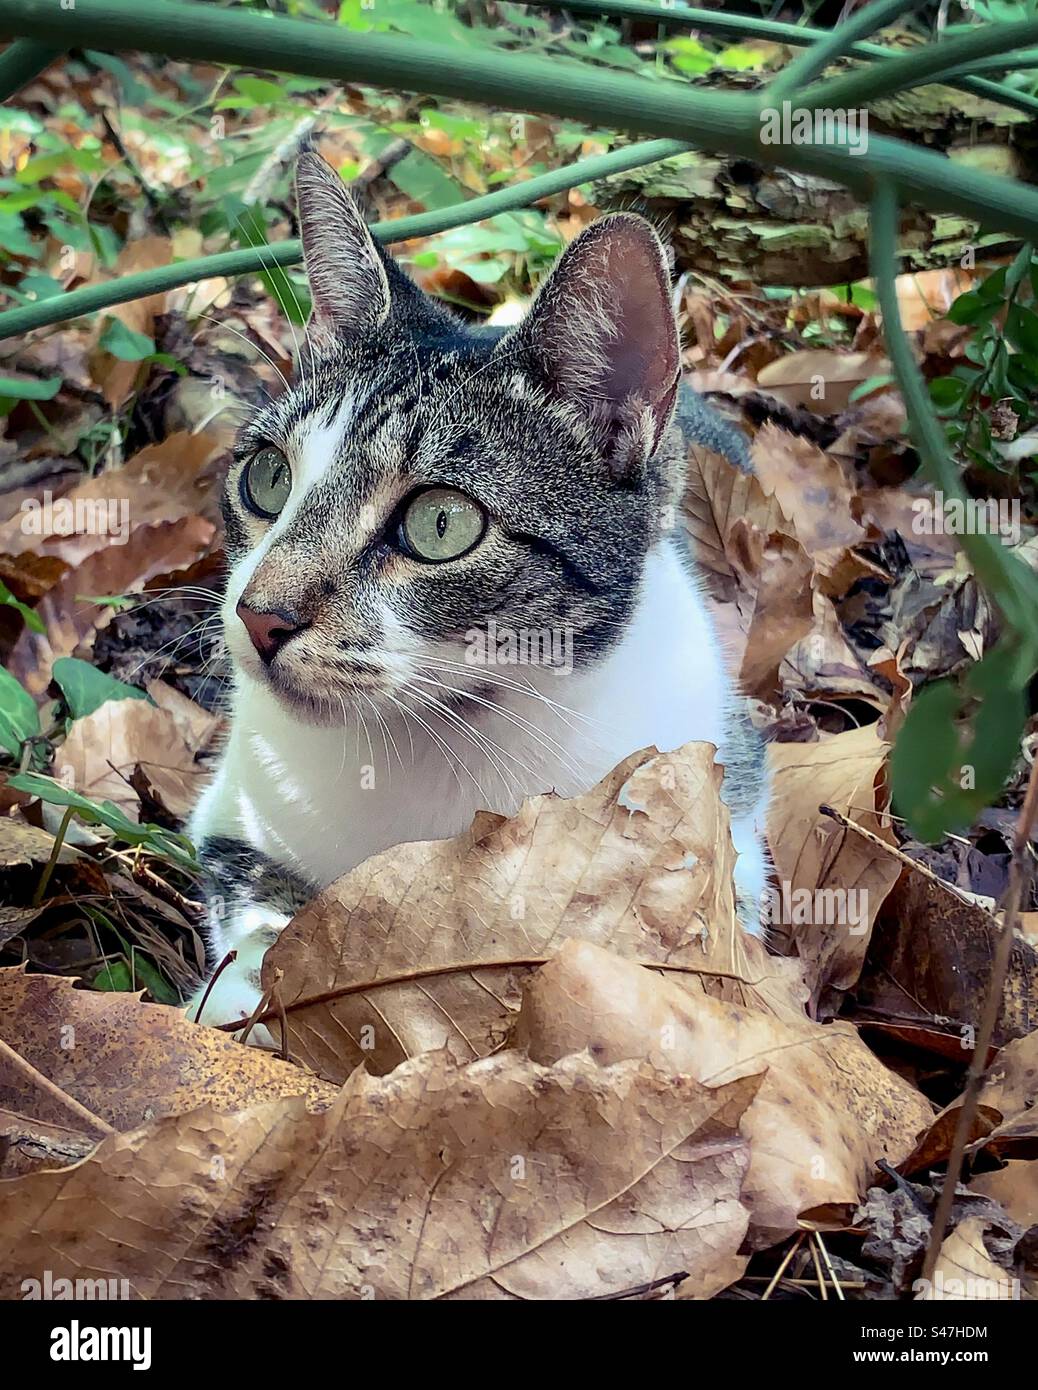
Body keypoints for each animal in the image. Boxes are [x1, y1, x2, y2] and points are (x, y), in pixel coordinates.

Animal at [188, 152, 772, 1039]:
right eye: (267, 477)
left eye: (440, 522)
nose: (259, 615)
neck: (435, 743)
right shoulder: (230, 811)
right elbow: (259, 897)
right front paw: (244, 997)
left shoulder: (729, 797)